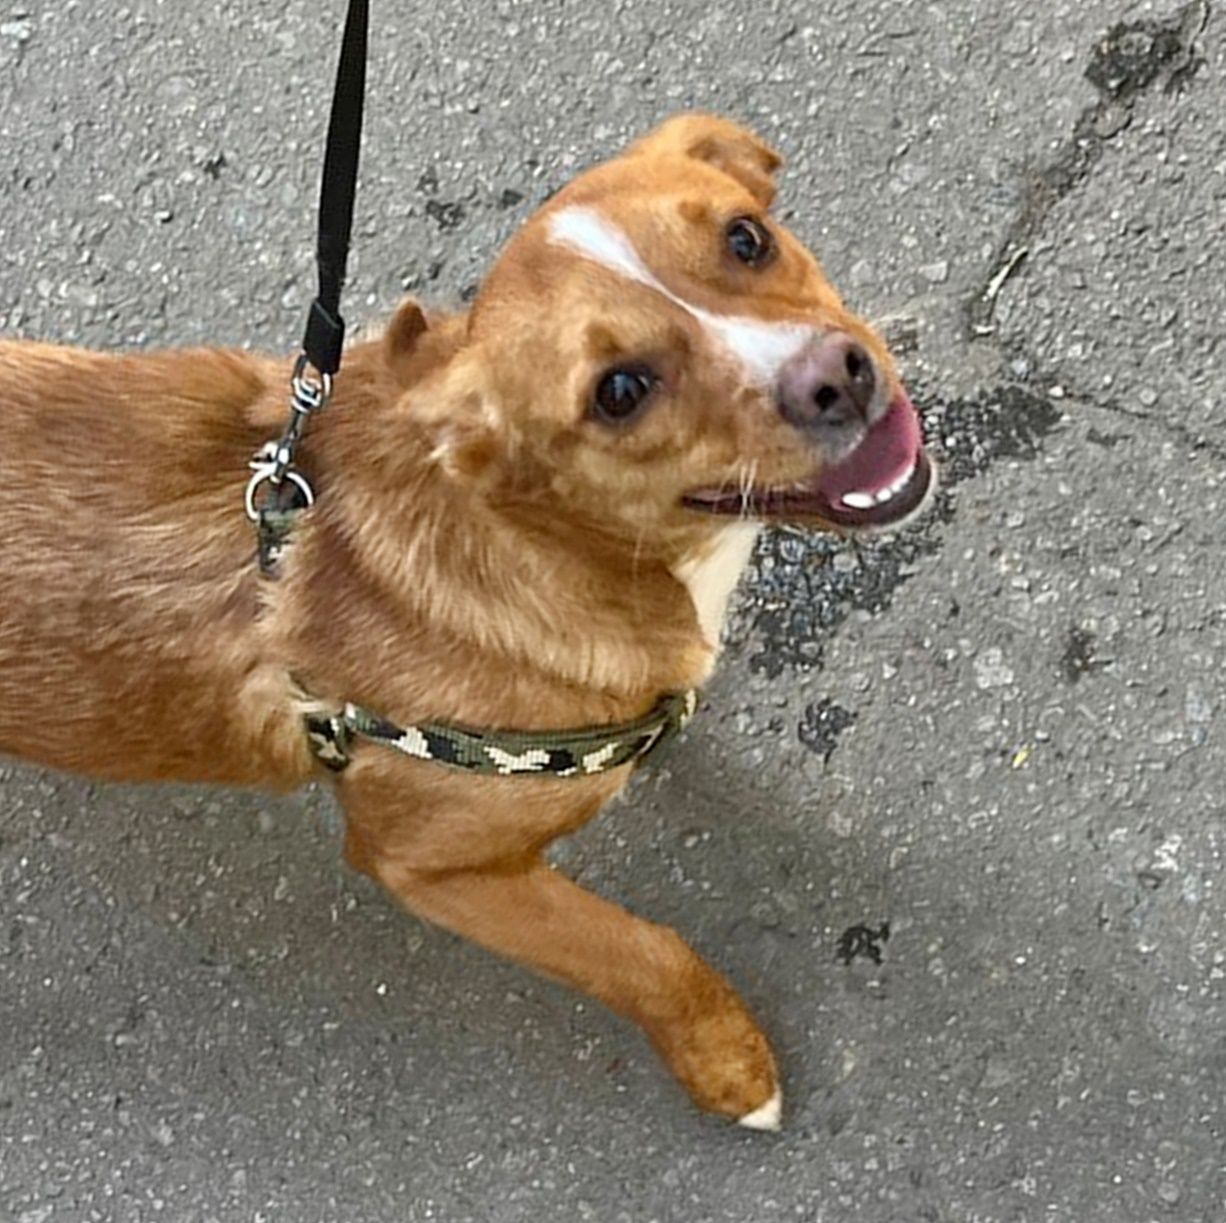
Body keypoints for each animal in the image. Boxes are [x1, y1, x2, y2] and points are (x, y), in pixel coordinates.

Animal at [0, 114, 933, 1129]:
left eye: (745, 239)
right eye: (619, 391)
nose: (835, 378)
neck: (553, 545)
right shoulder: (436, 869)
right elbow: (642, 952)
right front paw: (728, 1062)